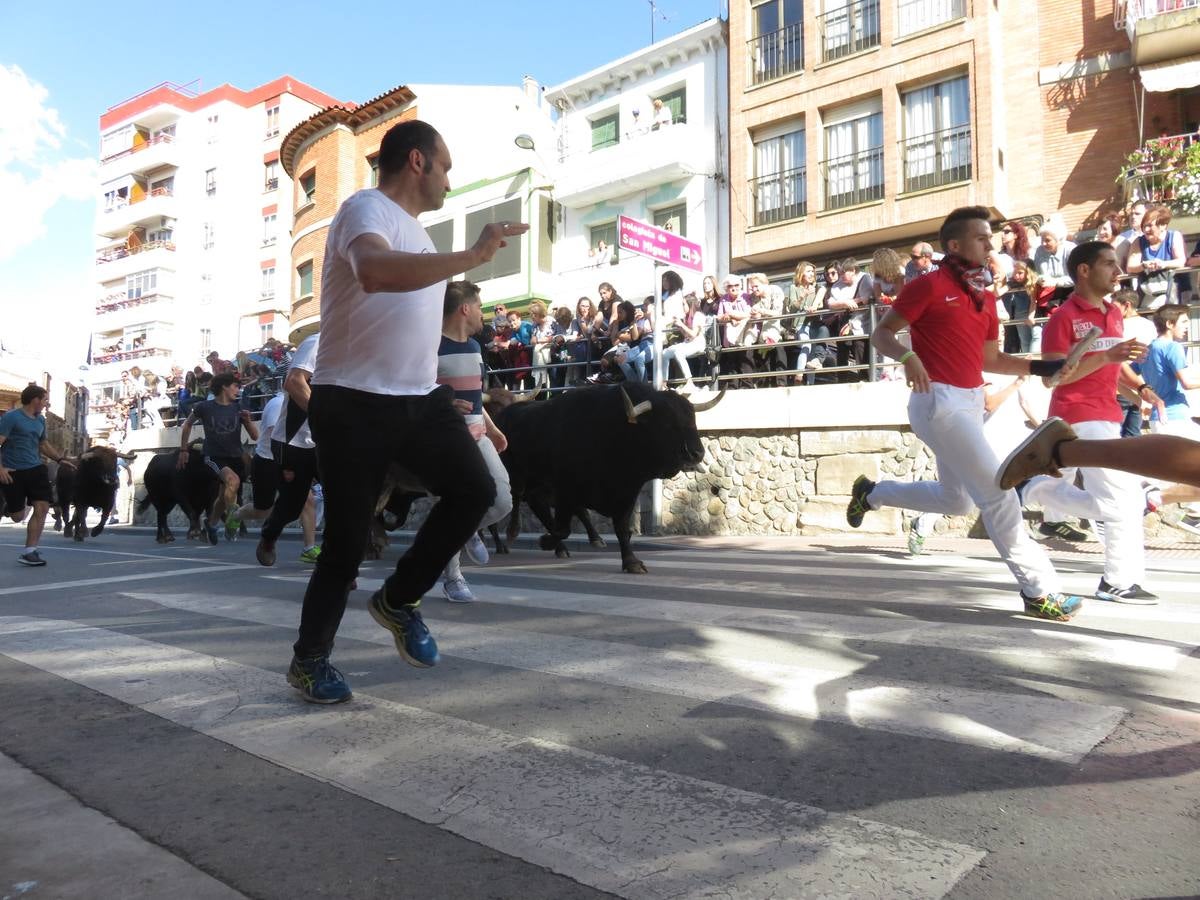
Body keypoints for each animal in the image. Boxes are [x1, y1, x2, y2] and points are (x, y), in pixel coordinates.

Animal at [492, 384, 715, 573]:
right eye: (668, 423)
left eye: (692, 419)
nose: (697, 453)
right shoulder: (566, 491)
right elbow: (564, 528)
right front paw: (545, 541)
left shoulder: (627, 494)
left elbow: (622, 530)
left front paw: (631, 562)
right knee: (514, 499)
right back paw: (512, 534)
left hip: (538, 488)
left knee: (539, 508)